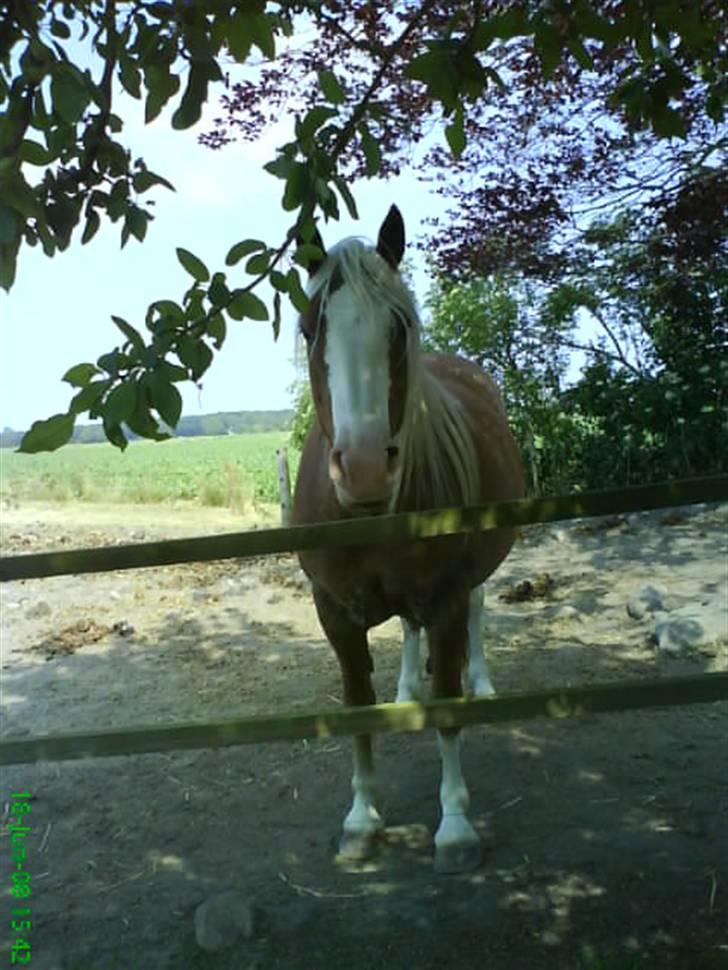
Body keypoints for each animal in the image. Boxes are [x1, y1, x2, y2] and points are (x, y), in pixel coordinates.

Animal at [292, 204, 528, 868]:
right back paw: (404, 687)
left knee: (477, 611)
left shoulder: (446, 597)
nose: (366, 468)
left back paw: (482, 682)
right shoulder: (334, 612)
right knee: (406, 627)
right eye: (308, 328)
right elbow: (357, 706)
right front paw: (361, 819)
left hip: (475, 576)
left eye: (398, 327)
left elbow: (447, 707)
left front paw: (455, 826)